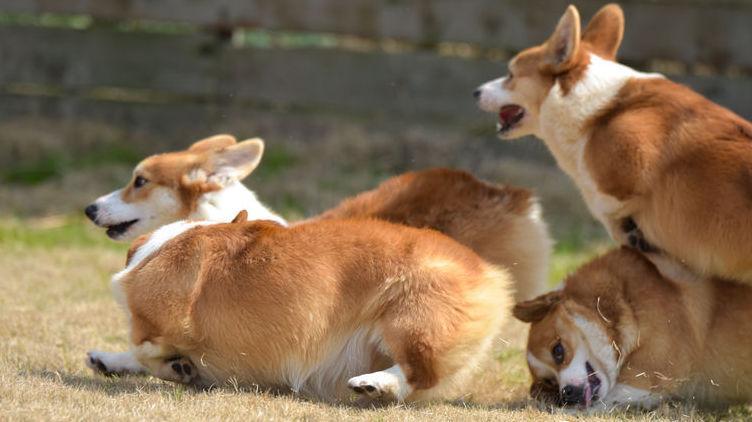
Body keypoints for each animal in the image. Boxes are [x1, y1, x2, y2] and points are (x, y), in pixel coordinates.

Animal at [88, 211, 512, 402]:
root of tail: (490, 274)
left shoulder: (163, 325)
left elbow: (145, 352)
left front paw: (176, 367)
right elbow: (136, 353)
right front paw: (108, 360)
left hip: (410, 321)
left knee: (418, 372)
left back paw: (374, 384)